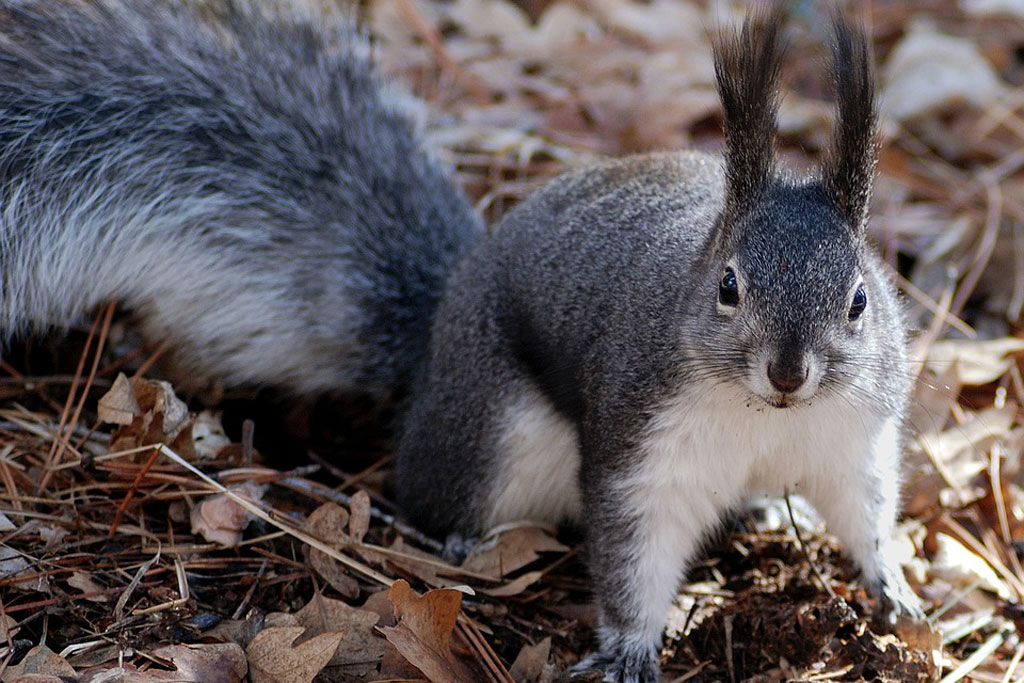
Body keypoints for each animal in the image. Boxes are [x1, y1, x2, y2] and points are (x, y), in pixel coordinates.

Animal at [0, 1, 925, 683]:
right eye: (727, 287)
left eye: (860, 299)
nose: (788, 370)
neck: (766, 418)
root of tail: (442, 325)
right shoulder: (643, 444)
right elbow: (633, 550)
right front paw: (629, 647)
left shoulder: (855, 439)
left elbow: (865, 510)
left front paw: (895, 586)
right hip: (494, 431)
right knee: (433, 486)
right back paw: (458, 539)